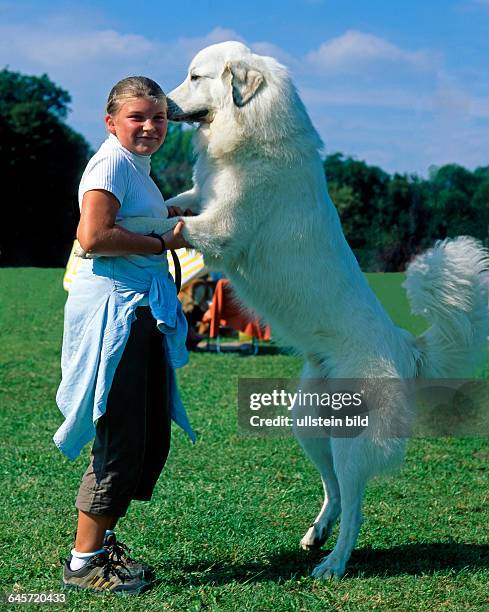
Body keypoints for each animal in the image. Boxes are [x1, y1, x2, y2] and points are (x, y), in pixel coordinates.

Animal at [151, 40, 486, 576]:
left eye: (195, 77)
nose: (161, 102)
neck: (251, 131)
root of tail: (406, 348)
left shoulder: (221, 228)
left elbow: (168, 225)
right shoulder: (200, 199)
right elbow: (171, 203)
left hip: (350, 444)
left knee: (356, 506)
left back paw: (334, 562)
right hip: (308, 424)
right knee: (335, 491)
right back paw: (318, 532)